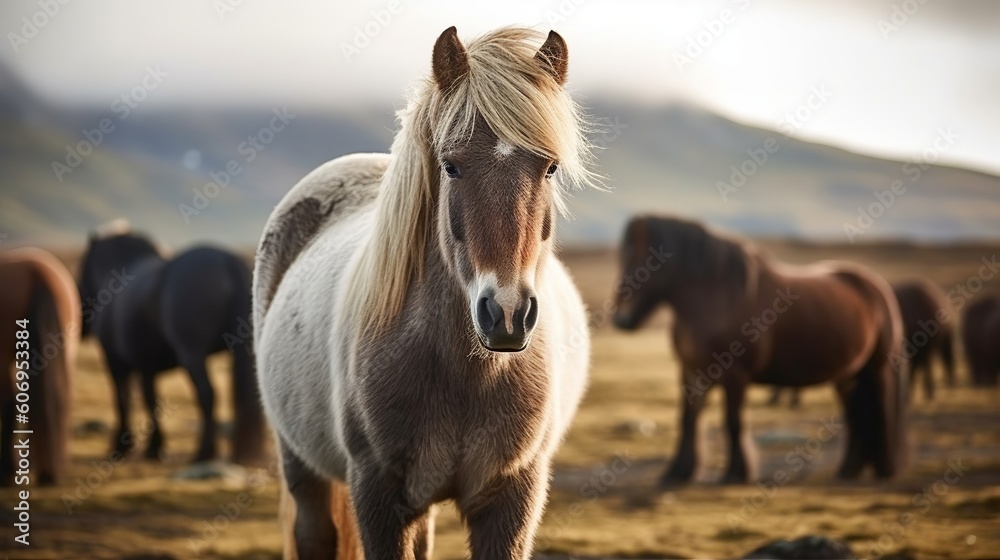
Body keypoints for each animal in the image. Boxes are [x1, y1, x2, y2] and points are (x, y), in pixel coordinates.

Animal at [78, 226, 265, 465]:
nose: (81, 329)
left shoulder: (115, 362)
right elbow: (150, 401)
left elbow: (124, 401)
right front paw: (155, 448)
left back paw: (204, 452)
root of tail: (228, 261)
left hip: (192, 355)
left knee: (207, 394)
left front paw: (123, 447)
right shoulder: (146, 367)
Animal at [253, 27, 595, 559]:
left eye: (551, 168)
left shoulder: (512, 496)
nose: (507, 314)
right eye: (451, 166)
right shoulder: (378, 496)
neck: (467, 373)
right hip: (300, 462)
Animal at [612, 216, 908, 485]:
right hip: (847, 377)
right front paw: (677, 473)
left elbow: (733, 422)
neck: (715, 298)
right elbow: (687, 420)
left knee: (878, 412)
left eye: (640, 258)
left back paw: (880, 470)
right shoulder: (692, 373)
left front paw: (735, 473)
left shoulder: (734, 376)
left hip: (877, 370)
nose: (621, 319)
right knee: (856, 417)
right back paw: (848, 470)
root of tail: (875, 286)